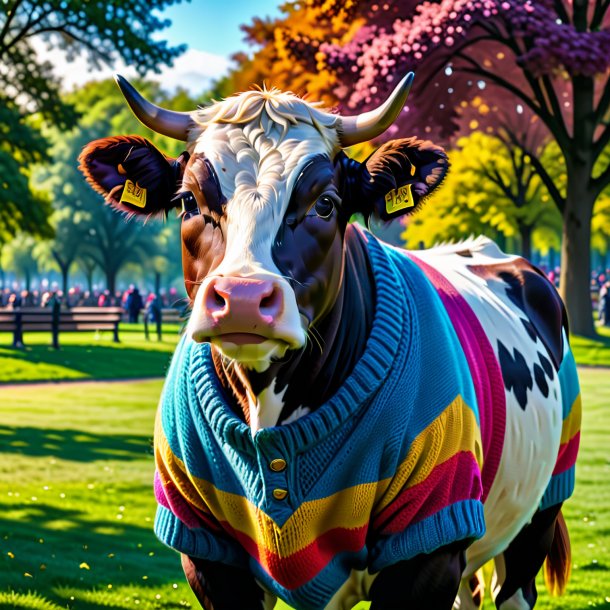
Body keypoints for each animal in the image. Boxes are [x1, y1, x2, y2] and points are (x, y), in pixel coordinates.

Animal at [78, 72, 576, 608]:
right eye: (190, 201)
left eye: (325, 204)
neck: (271, 408)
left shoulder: (431, 547)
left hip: (537, 517)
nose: (243, 297)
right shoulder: (209, 557)